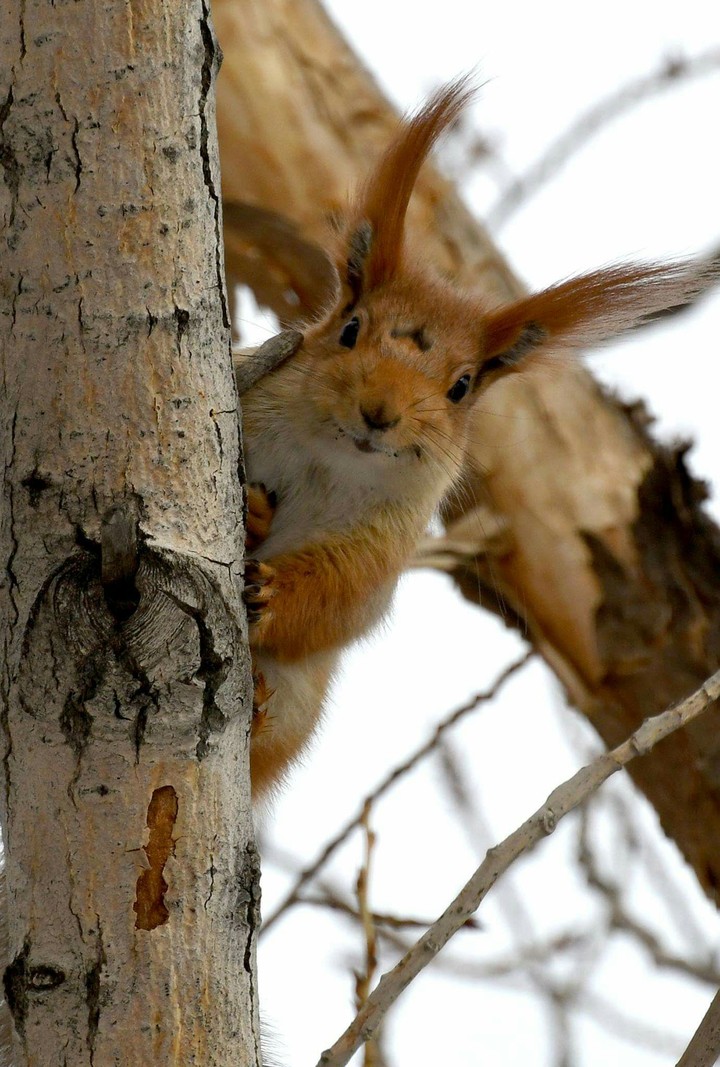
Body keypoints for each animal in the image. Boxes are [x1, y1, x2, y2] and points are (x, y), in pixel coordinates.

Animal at [236, 78, 708, 798]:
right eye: (349, 328)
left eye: (462, 386)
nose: (379, 413)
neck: (330, 462)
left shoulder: (384, 543)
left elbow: (341, 599)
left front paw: (272, 593)